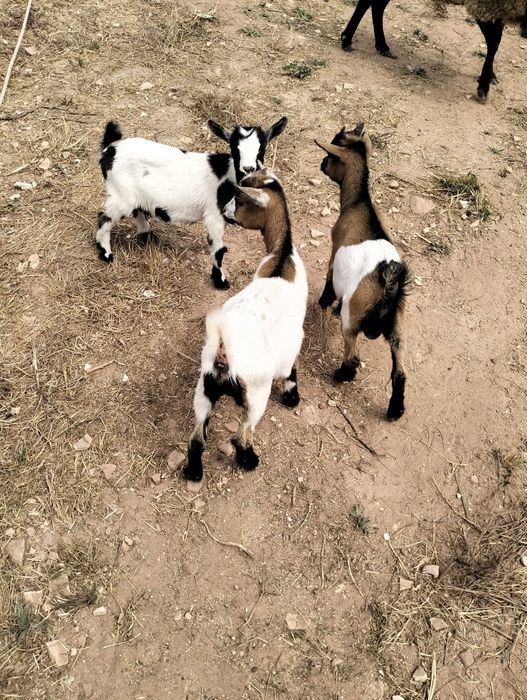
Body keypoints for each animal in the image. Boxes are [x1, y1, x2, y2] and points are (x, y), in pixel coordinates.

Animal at [95, 117, 288, 289]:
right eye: (234, 147)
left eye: (262, 148)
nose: (248, 169)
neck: (228, 177)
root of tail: (110, 148)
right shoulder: (214, 215)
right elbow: (219, 249)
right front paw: (220, 282)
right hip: (121, 195)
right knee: (104, 218)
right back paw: (106, 254)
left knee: (137, 210)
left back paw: (147, 237)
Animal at [184, 168, 308, 482]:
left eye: (240, 201)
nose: (225, 211)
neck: (282, 255)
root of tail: (223, 353)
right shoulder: (292, 343)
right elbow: (290, 372)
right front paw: (292, 398)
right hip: (255, 393)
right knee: (243, 433)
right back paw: (249, 460)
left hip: (203, 390)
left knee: (197, 437)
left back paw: (194, 472)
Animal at [315, 123, 409, 420]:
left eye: (331, 154)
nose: (322, 164)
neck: (359, 204)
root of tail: (388, 282)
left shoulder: (334, 251)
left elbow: (328, 283)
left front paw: (324, 304)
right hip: (397, 327)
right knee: (400, 372)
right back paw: (395, 410)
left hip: (353, 316)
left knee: (353, 355)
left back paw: (340, 375)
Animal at [340, 0, 527, 102]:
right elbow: (493, 42)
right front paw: (483, 87)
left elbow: (496, 41)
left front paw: (489, 76)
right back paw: (347, 39)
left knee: (378, 6)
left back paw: (382, 46)